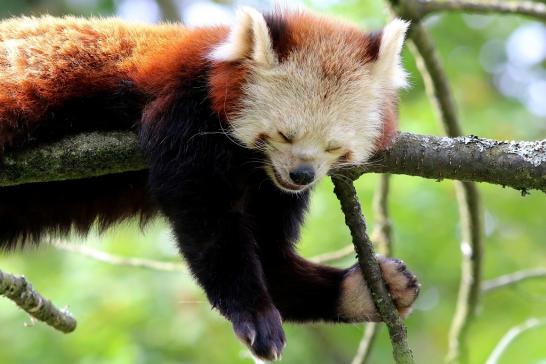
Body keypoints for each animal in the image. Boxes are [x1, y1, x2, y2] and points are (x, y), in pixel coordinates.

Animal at [0, 8, 420, 362]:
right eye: (285, 134)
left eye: (333, 146)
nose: (302, 175)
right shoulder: (183, 112)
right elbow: (207, 223)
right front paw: (253, 316)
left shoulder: (267, 183)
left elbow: (271, 255)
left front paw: (361, 291)